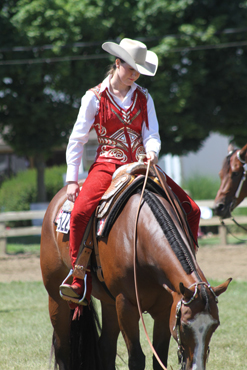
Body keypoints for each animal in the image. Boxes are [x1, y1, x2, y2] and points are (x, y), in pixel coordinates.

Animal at [40, 171, 232, 370]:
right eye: (185, 325)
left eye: (215, 325)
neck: (138, 238)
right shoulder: (126, 305)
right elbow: (137, 358)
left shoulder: (165, 308)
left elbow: (159, 357)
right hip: (56, 296)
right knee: (63, 348)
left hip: (110, 303)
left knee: (106, 346)